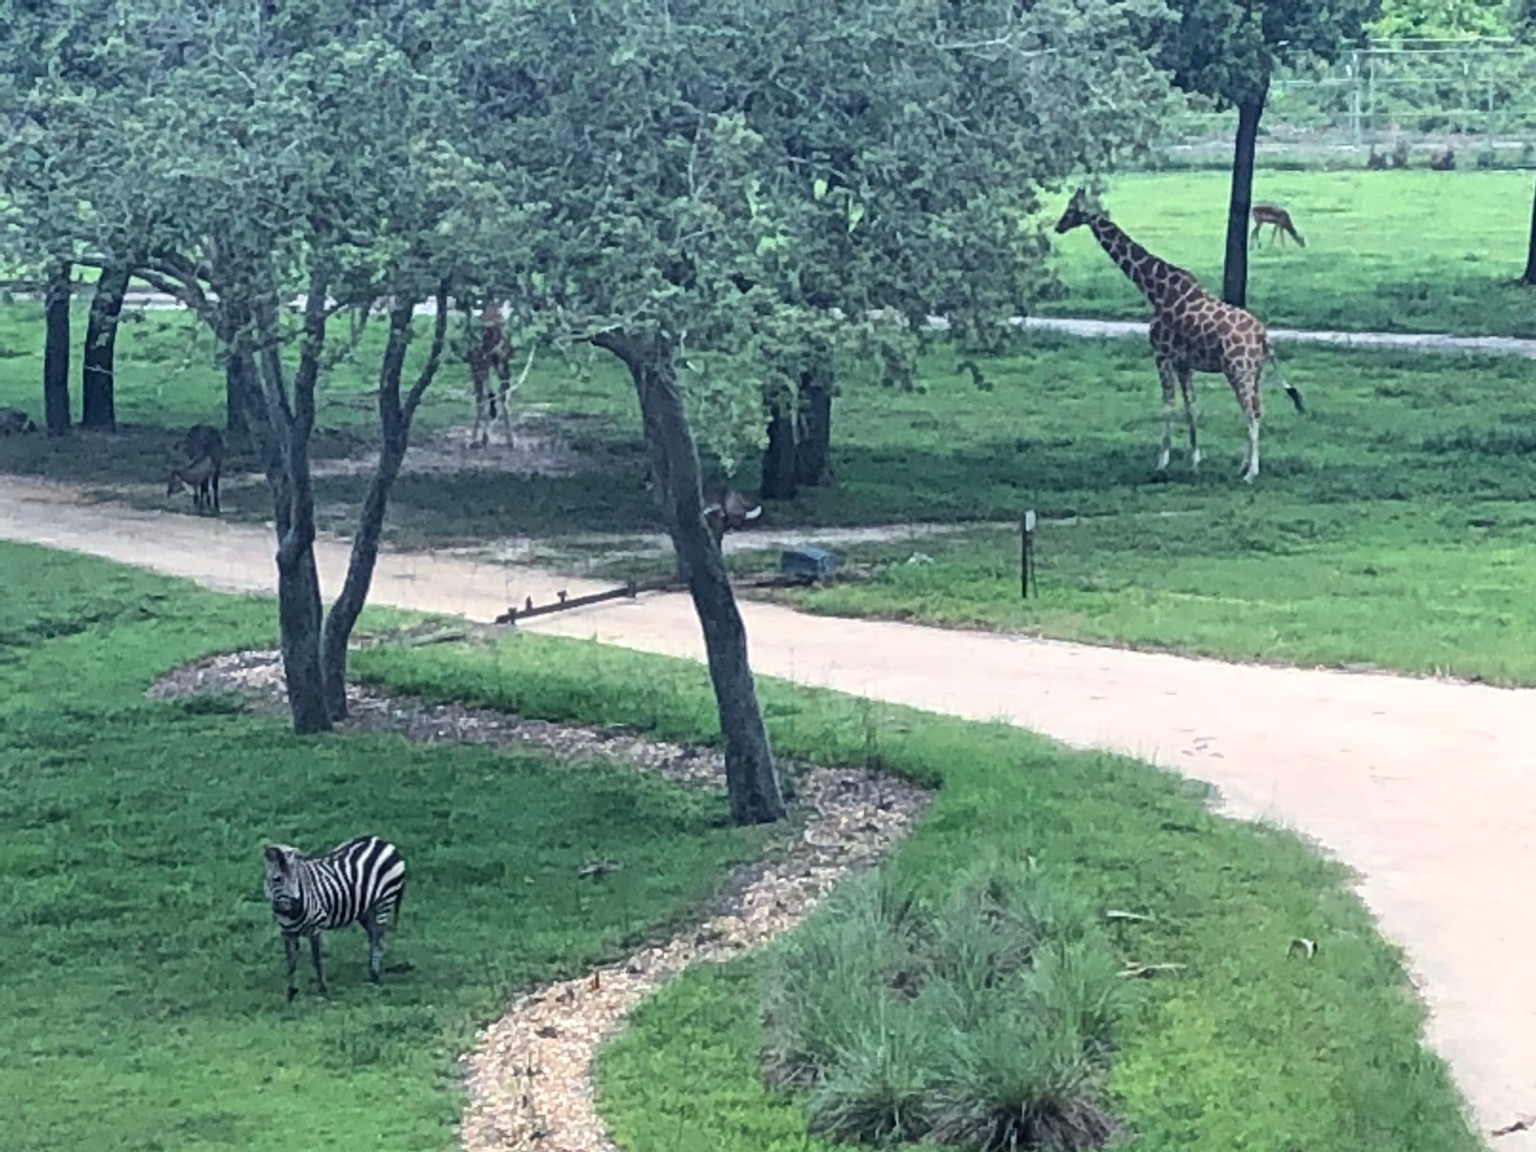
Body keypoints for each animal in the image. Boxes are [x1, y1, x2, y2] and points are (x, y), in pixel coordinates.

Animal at [264, 841, 408, 1001]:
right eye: (277, 879)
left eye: (298, 878)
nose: (297, 907)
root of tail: (383, 842)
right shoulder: (287, 933)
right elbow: (291, 963)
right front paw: (291, 993)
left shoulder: (314, 928)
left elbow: (317, 959)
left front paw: (322, 988)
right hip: (365, 910)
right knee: (373, 935)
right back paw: (371, 970)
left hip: (384, 901)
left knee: (377, 936)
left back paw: (375, 975)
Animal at [460, 299, 516, 448]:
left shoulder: (476, 364)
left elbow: (482, 397)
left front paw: (477, 438)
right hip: (502, 363)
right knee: (502, 392)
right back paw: (509, 439)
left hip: (483, 365)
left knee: (485, 396)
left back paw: (479, 437)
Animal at [1056, 189, 1308, 482]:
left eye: (1070, 210)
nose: (1058, 226)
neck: (1155, 291)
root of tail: (1264, 338)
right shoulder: (1183, 362)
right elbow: (1191, 406)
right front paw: (1195, 460)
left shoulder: (1162, 354)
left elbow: (1168, 404)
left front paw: (1162, 461)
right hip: (1254, 372)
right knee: (1257, 408)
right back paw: (1242, 466)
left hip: (1239, 369)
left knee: (1251, 412)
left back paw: (1251, 473)